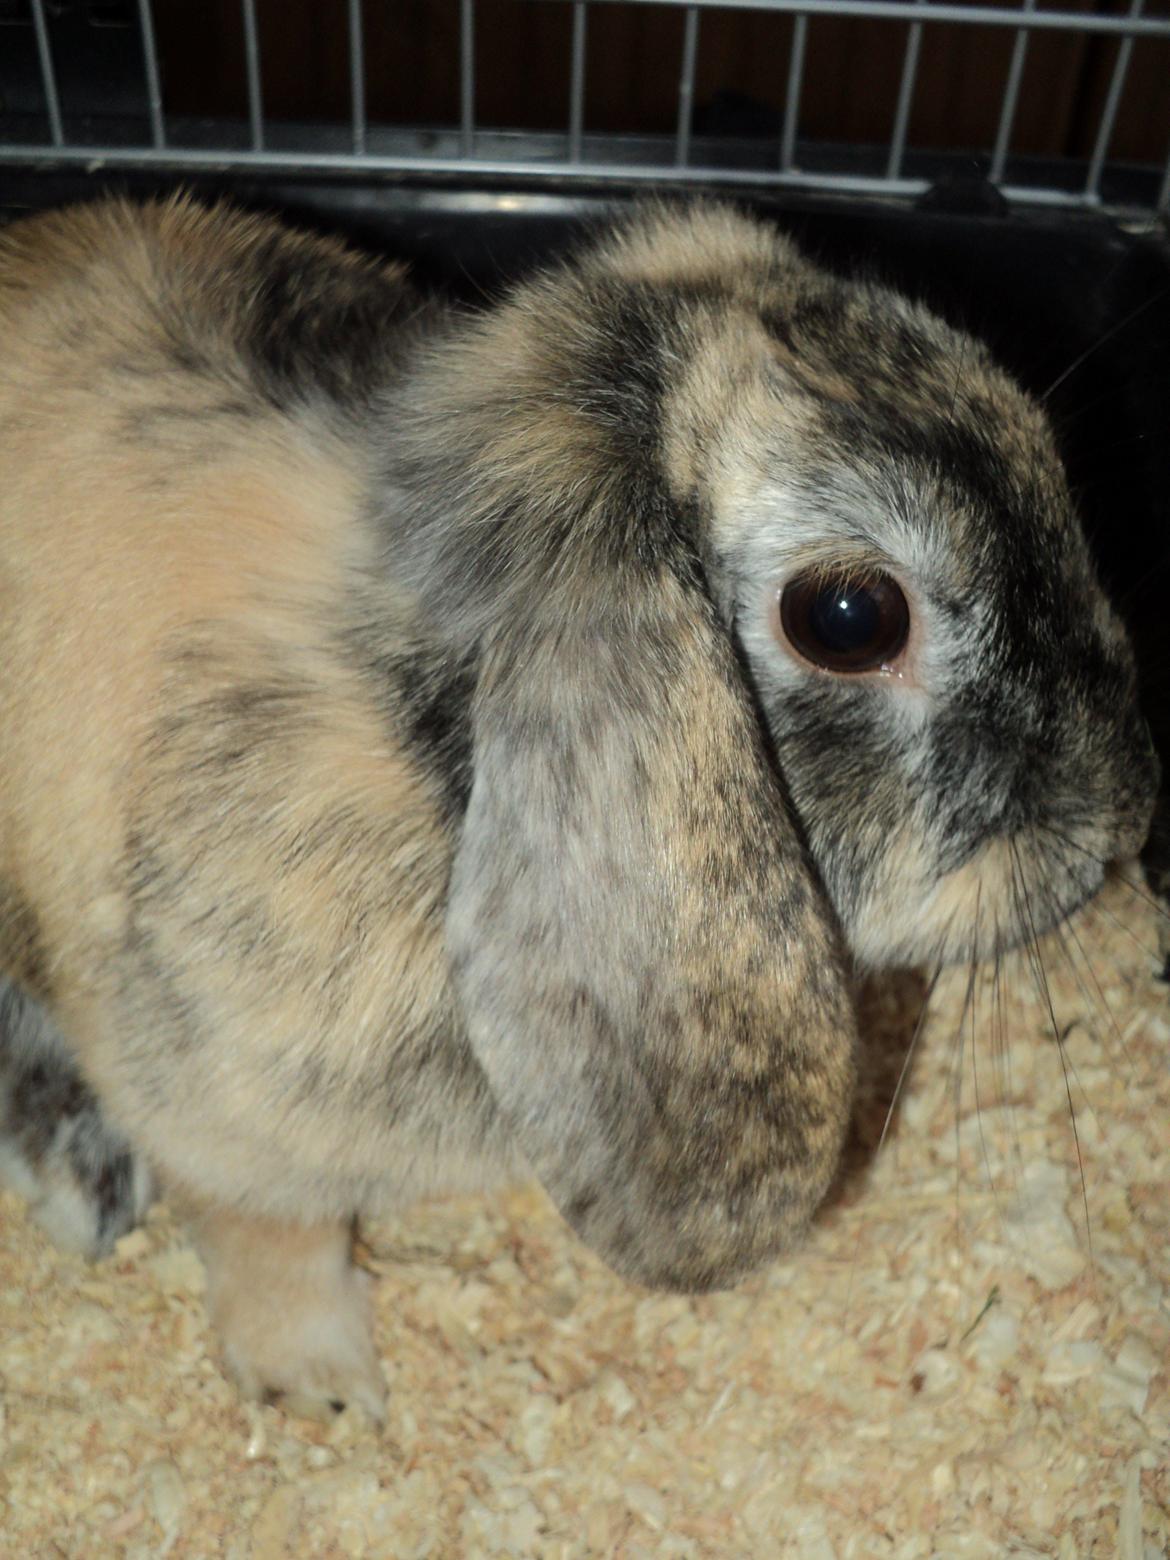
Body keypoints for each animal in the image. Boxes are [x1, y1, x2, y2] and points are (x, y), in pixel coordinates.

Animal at [0, 195, 1157, 1420]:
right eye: (849, 618)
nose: (1123, 818)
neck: (431, 744)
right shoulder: (224, 1116)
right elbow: (271, 1241)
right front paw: (327, 1389)